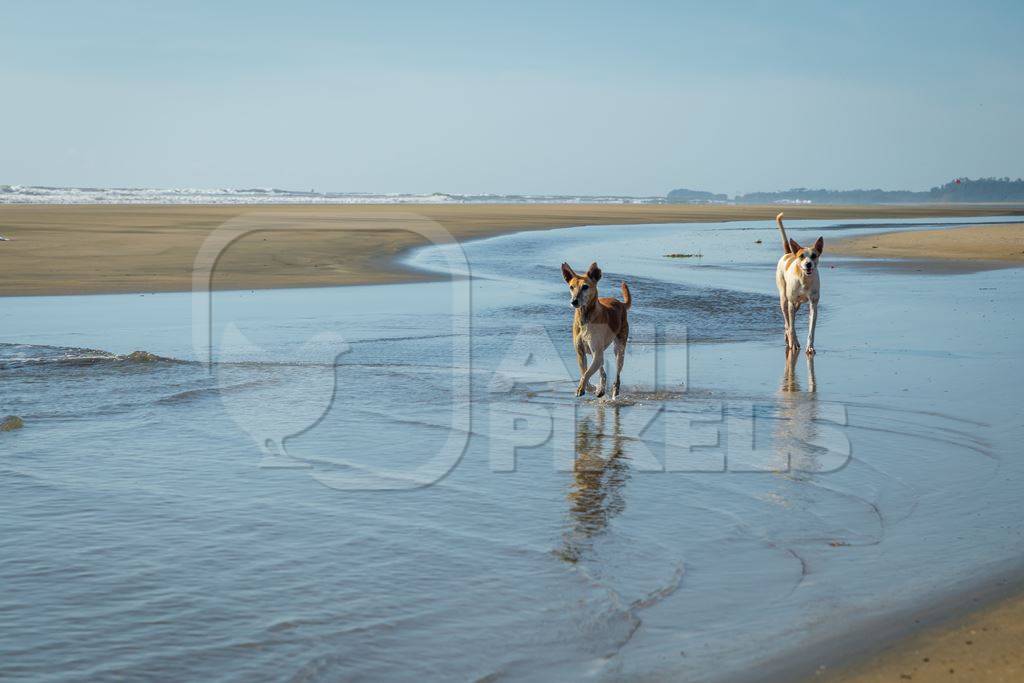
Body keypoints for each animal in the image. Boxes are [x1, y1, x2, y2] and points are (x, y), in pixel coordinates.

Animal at [561, 262, 630, 401]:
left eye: (585, 287)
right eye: (571, 287)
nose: (574, 301)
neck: (585, 317)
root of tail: (621, 304)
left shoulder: (596, 353)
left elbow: (586, 374)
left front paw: (582, 388)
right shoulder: (581, 353)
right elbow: (584, 373)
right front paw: (591, 388)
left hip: (619, 348)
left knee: (617, 373)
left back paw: (615, 391)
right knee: (602, 372)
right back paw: (601, 389)